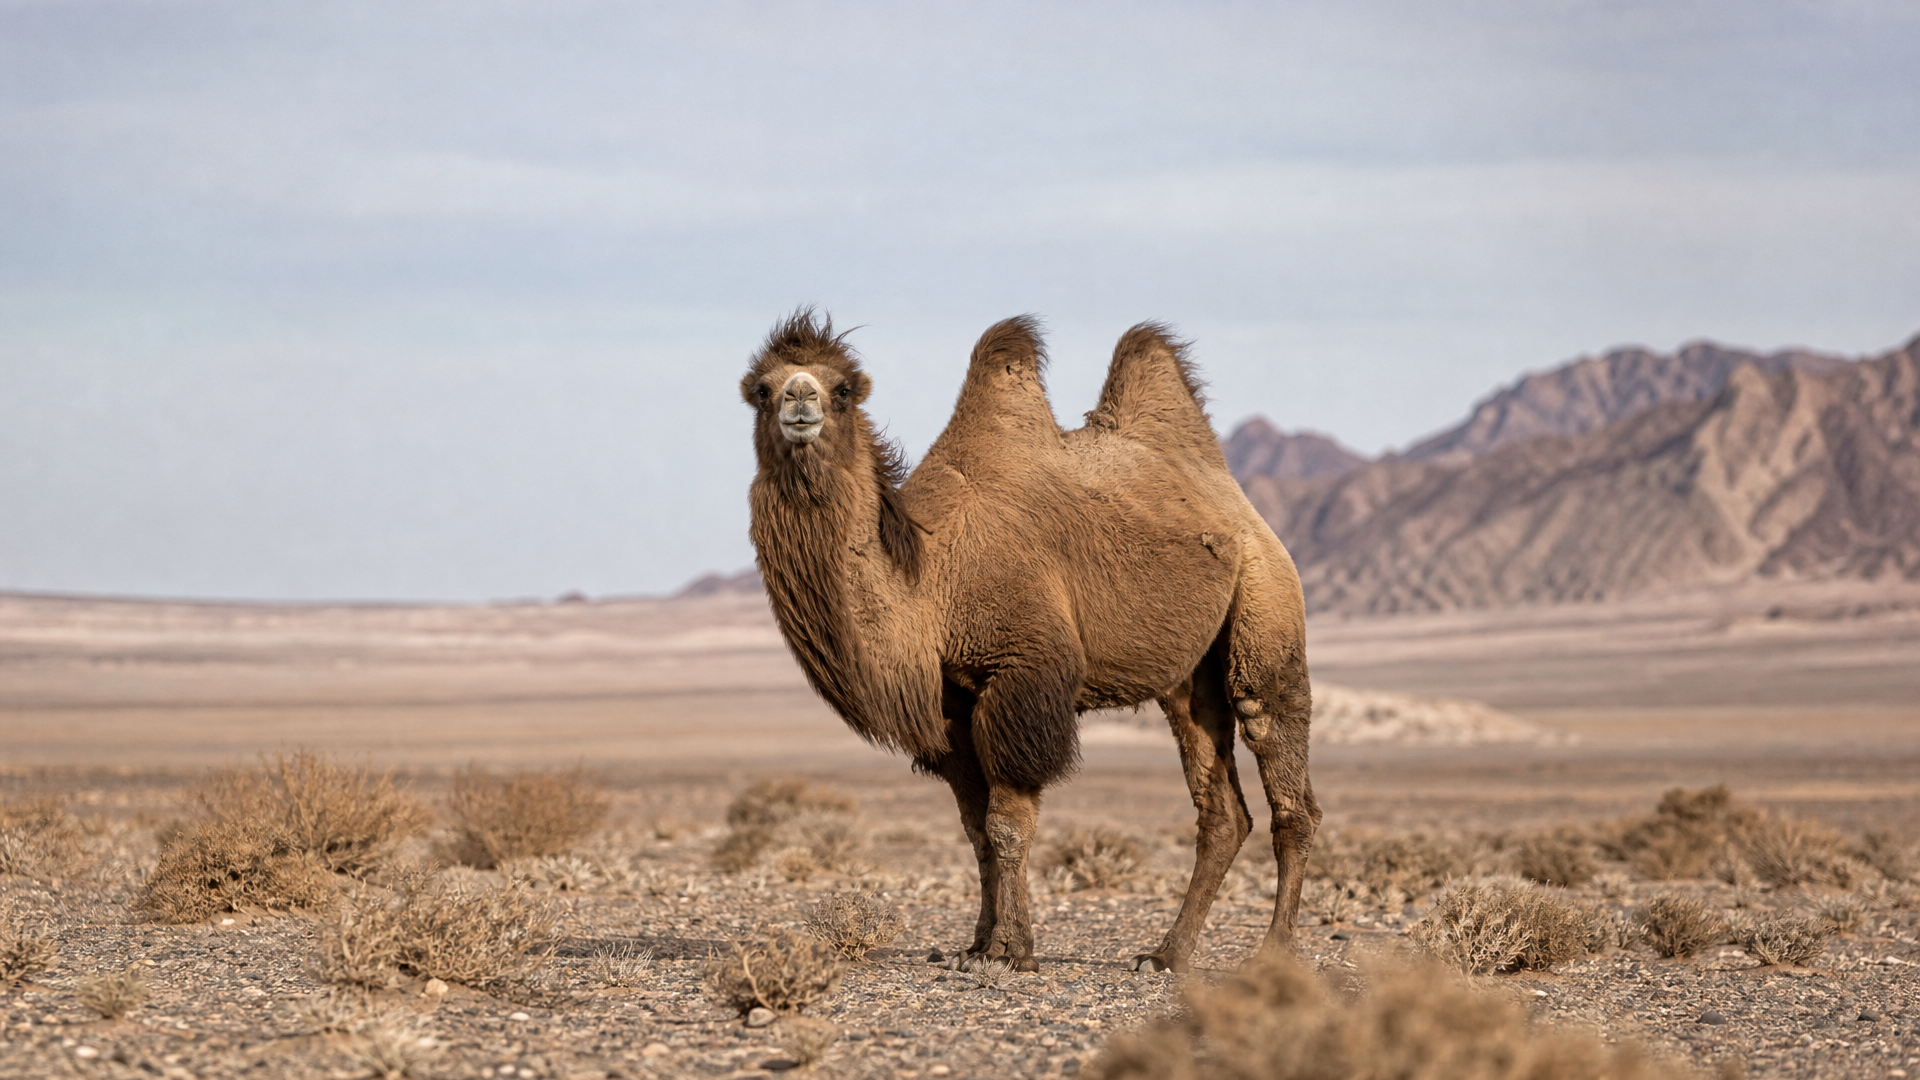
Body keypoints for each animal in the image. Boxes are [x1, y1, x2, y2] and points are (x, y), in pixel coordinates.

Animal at [740, 310, 1318, 973]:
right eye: (762, 388)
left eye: (841, 389)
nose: (799, 398)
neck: (933, 576)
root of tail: (1238, 505)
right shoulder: (952, 706)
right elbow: (975, 829)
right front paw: (978, 943)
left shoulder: (1022, 677)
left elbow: (1008, 823)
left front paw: (1012, 951)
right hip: (1188, 677)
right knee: (1222, 808)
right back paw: (1166, 954)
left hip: (1265, 601)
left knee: (1281, 764)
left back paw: (1273, 952)